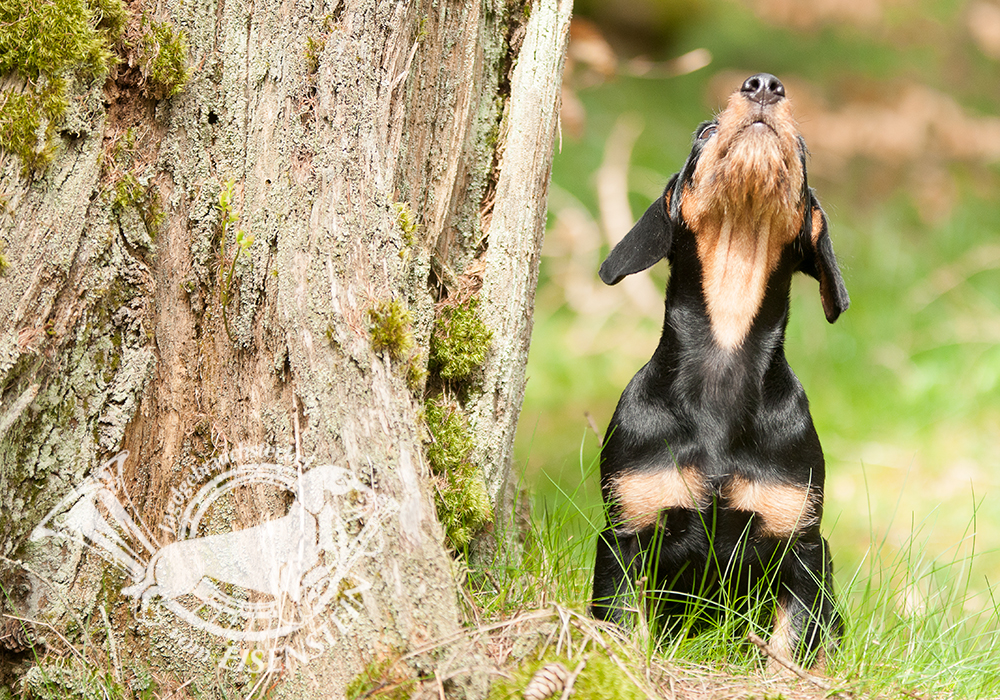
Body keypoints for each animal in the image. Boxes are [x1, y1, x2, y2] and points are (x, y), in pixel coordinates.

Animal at [591, 73, 849, 665]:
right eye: (705, 132)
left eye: (801, 149)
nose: (764, 84)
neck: (725, 355)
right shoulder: (625, 534)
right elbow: (621, 626)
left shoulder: (803, 545)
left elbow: (789, 646)